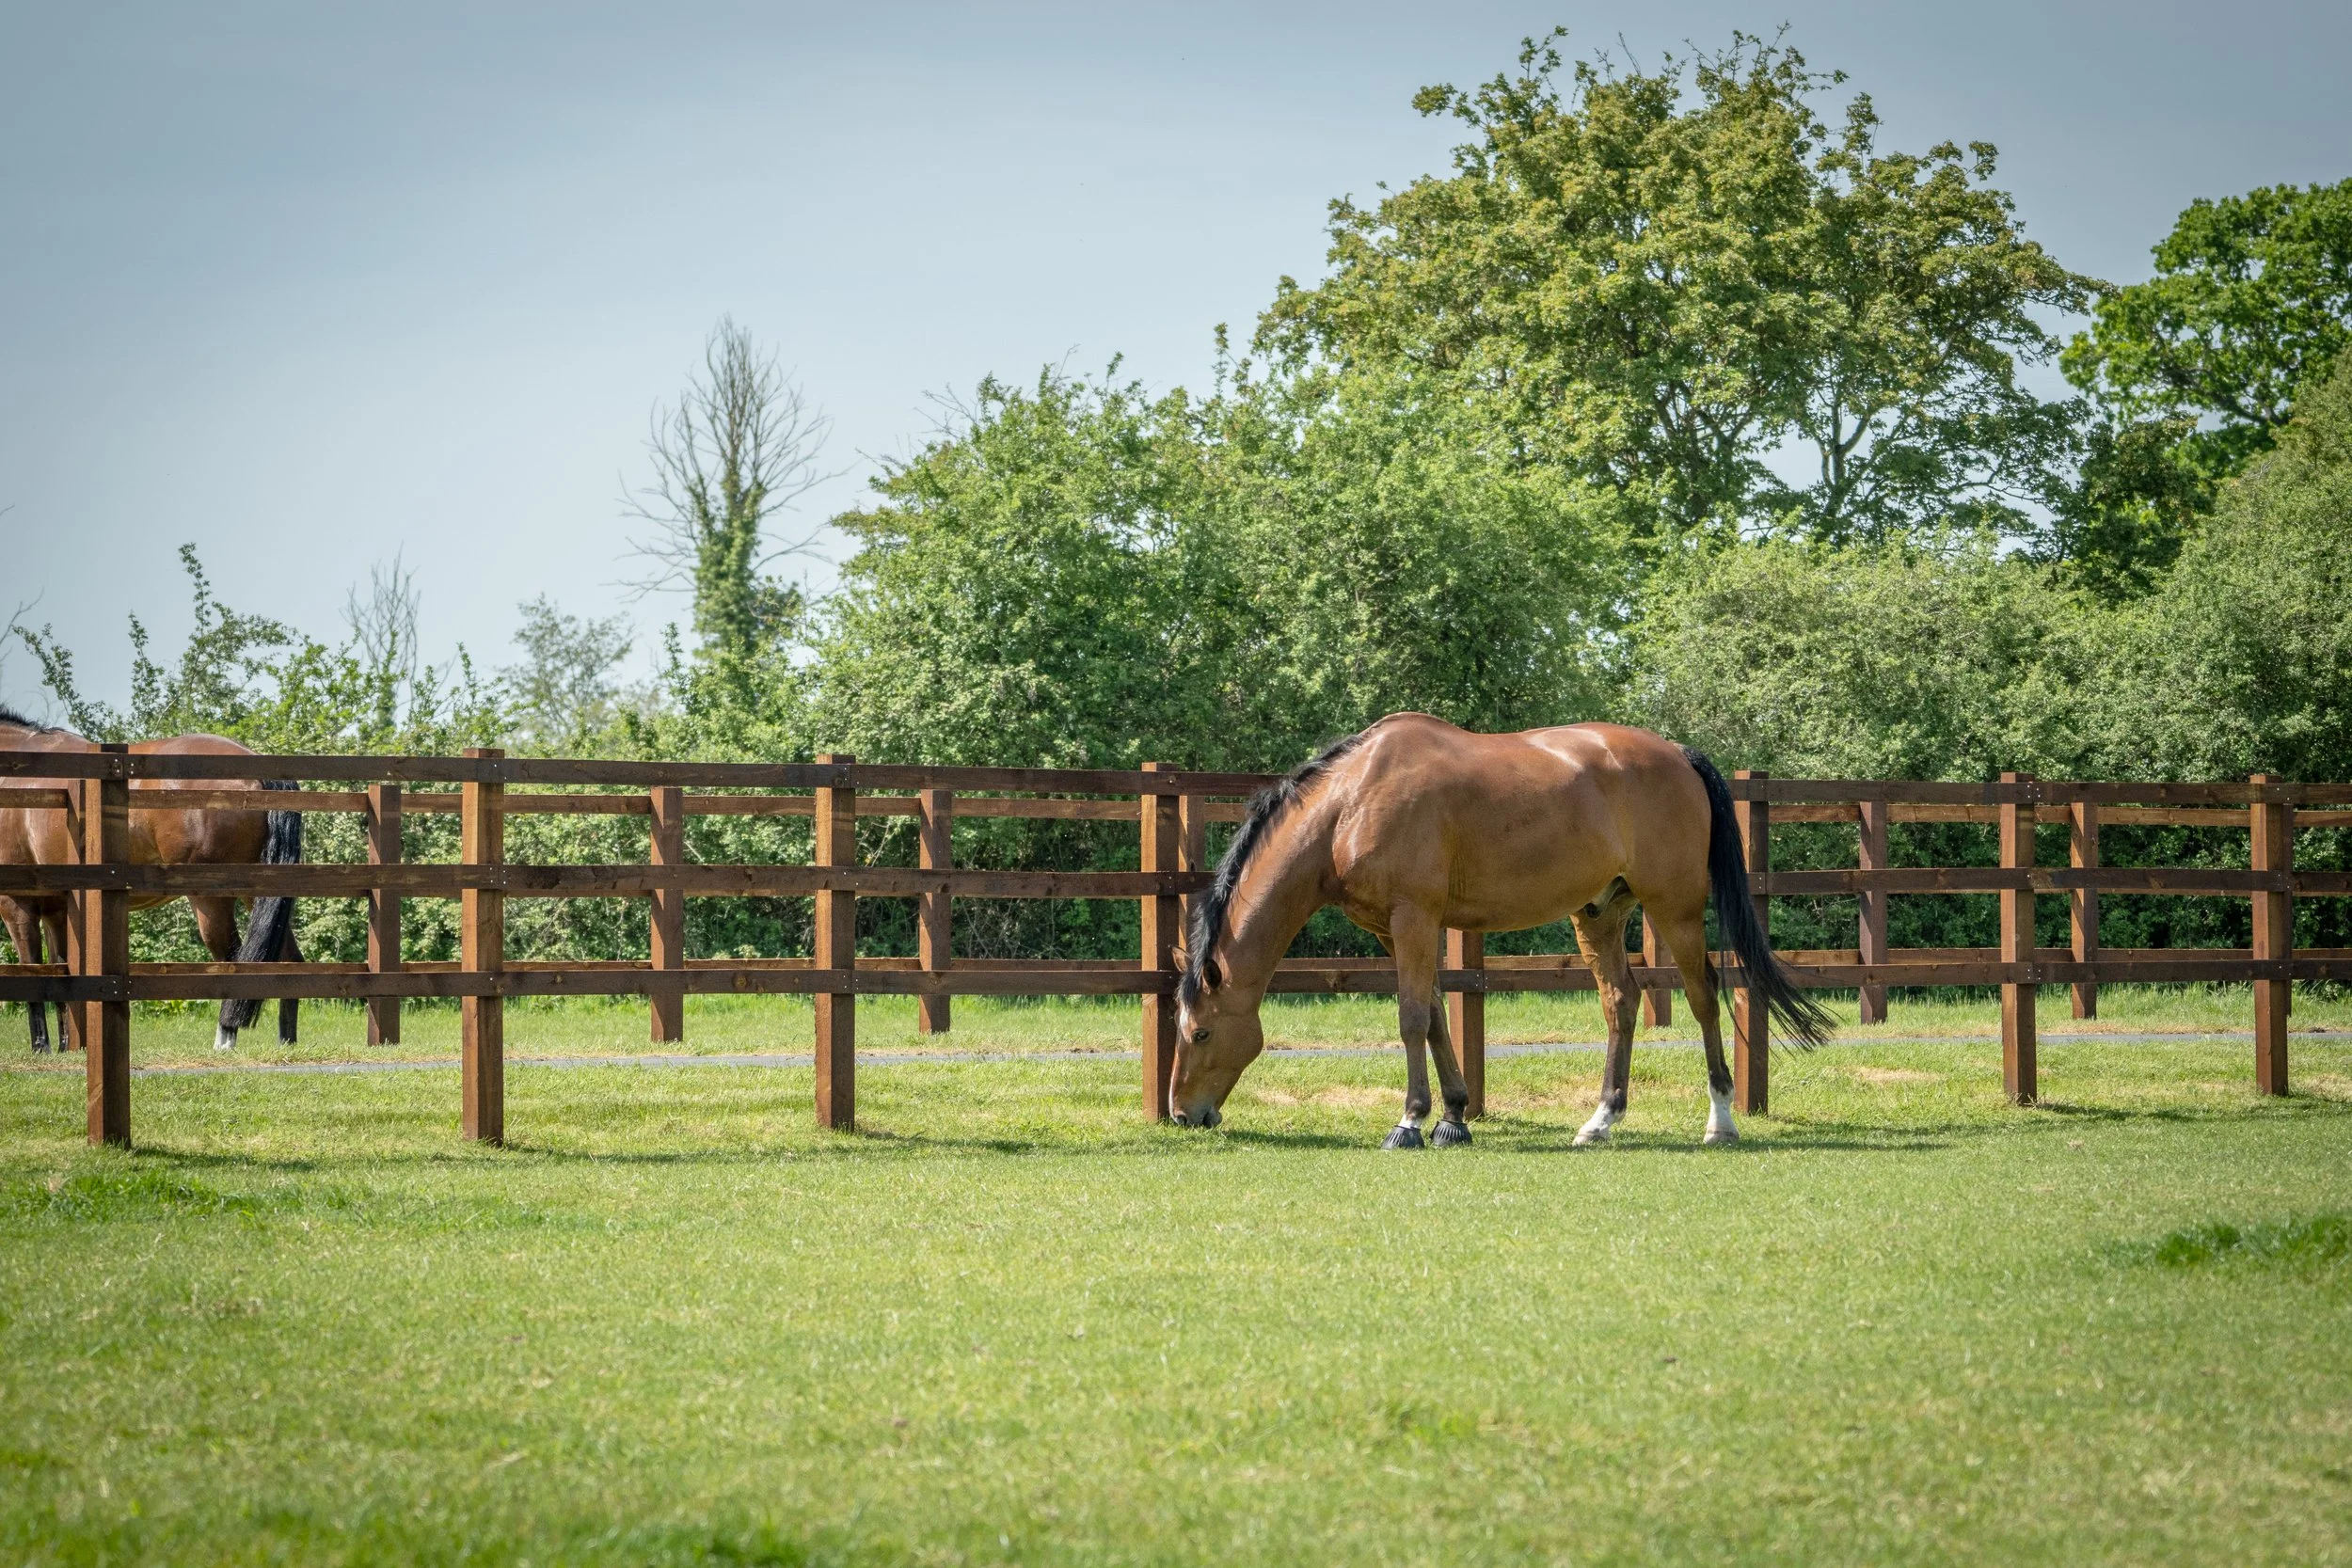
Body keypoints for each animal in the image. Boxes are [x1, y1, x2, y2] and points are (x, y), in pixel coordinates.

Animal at [0, 705, 304, 1053]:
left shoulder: (16, 905)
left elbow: (32, 970)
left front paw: (42, 1047)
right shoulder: (57, 910)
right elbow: (60, 971)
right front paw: (66, 1047)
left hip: (211, 899)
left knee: (232, 960)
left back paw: (225, 1038)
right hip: (259, 893)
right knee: (289, 959)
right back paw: (286, 1041)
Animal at [1169, 713, 1831, 1146]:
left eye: (1200, 1032)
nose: (1182, 1114)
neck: (1350, 804)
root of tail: (1678, 754)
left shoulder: (1414, 918)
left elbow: (1411, 1018)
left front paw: (1411, 1121)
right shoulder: (1393, 929)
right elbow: (1436, 1016)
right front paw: (1454, 1118)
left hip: (1676, 908)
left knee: (1702, 998)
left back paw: (1720, 1121)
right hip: (1600, 914)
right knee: (1620, 1002)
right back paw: (1601, 1120)